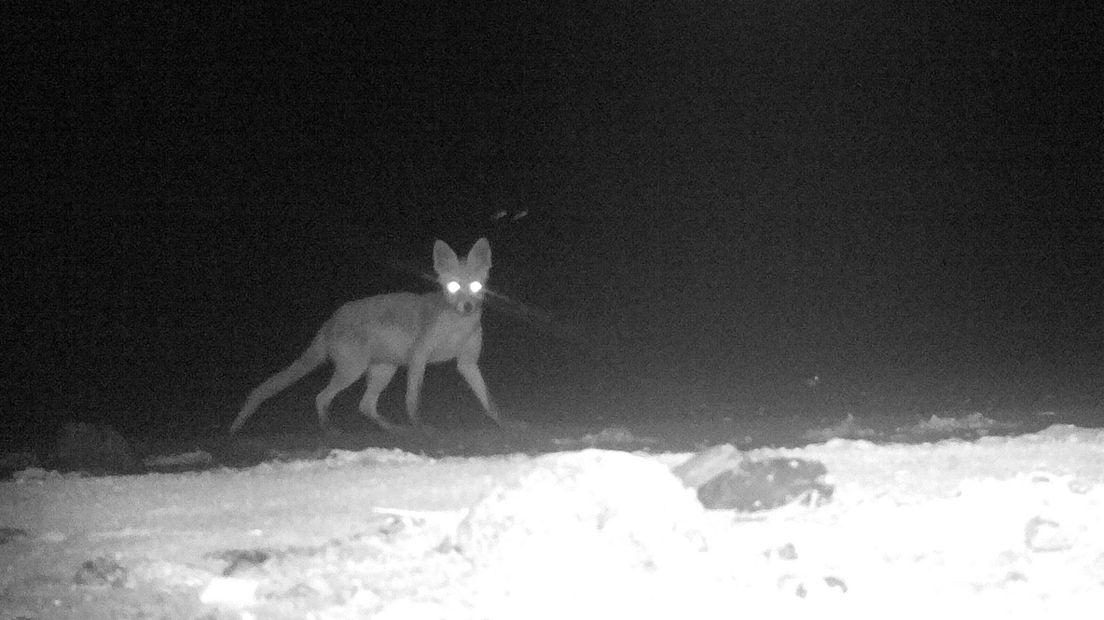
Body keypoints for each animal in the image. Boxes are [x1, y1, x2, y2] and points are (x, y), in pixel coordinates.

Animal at [229, 237, 505, 434]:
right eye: (454, 286)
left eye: (476, 286)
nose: (467, 307)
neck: (457, 328)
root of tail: (330, 321)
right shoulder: (419, 359)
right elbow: (413, 400)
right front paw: (421, 428)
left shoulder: (467, 363)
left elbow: (488, 399)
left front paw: (505, 423)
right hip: (354, 370)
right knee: (322, 397)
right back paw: (330, 430)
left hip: (383, 371)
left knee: (365, 406)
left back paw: (393, 429)